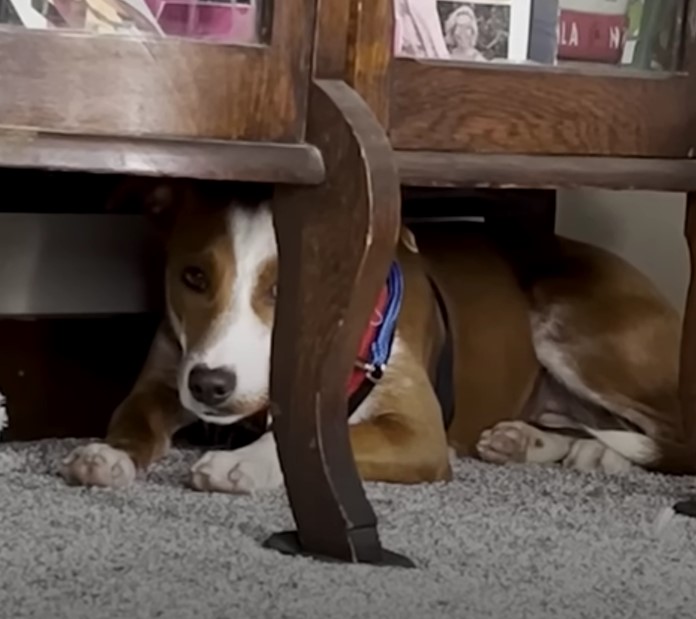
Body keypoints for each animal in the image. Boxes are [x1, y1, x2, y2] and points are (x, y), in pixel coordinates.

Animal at [61, 182, 696, 492]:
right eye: (193, 276)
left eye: (290, 286)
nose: (211, 386)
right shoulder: (164, 375)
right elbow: (135, 417)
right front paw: (110, 455)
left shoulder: (417, 432)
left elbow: (325, 440)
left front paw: (241, 465)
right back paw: (534, 442)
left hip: (577, 327)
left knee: (672, 434)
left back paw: (597, 451)